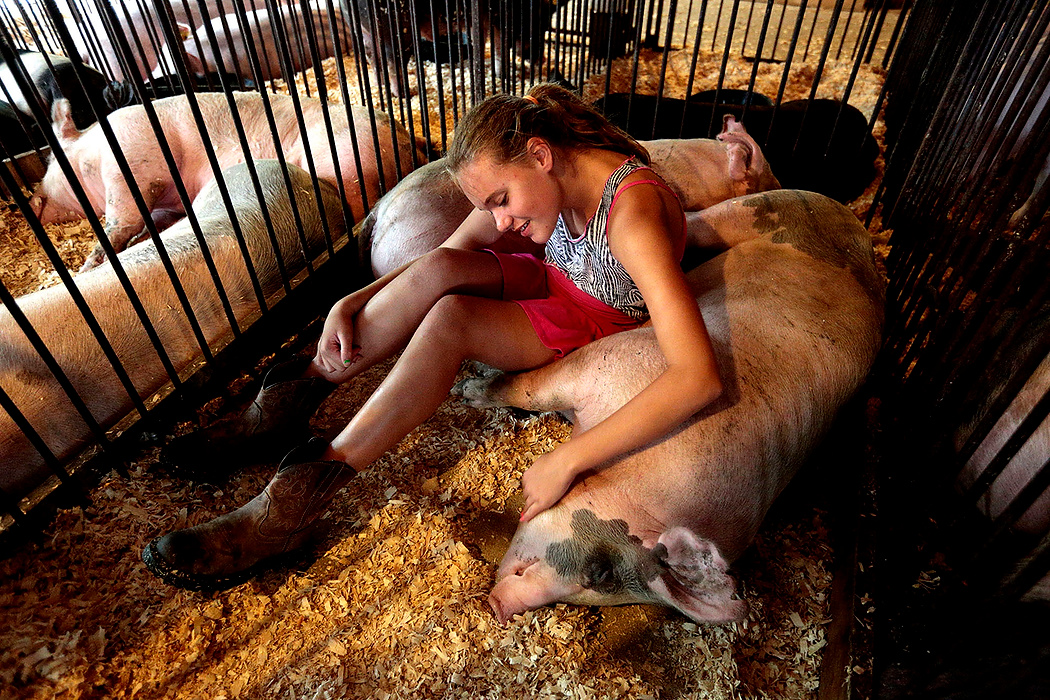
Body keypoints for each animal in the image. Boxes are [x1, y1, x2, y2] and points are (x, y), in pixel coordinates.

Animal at [29, 89, 422, 268]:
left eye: (51, 161)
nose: (33, 198)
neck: (90, 151)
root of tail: (407, 143)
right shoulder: (167, 201)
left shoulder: (131, 162)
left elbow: (122, 219)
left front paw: (88, 265)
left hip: (346, 163)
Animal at [451, 189, 886, 625]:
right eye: (602, 571)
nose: (500, 606)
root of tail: (859, 233)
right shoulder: (605, 361)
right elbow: (528, 389)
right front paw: (468, 390)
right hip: (761, 209)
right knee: (696, 219)